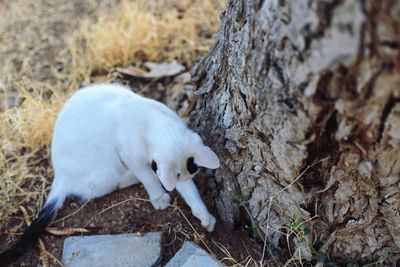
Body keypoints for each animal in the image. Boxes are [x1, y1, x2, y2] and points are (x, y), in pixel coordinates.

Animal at [0, 83, 219, 266]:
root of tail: (60, 176)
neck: (152, 120)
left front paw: (204, 216)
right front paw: (158, 196)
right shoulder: (132, 156)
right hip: (108, 170)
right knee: (116, 183)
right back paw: (130, 177)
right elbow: (148, 177)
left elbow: (190, 193)